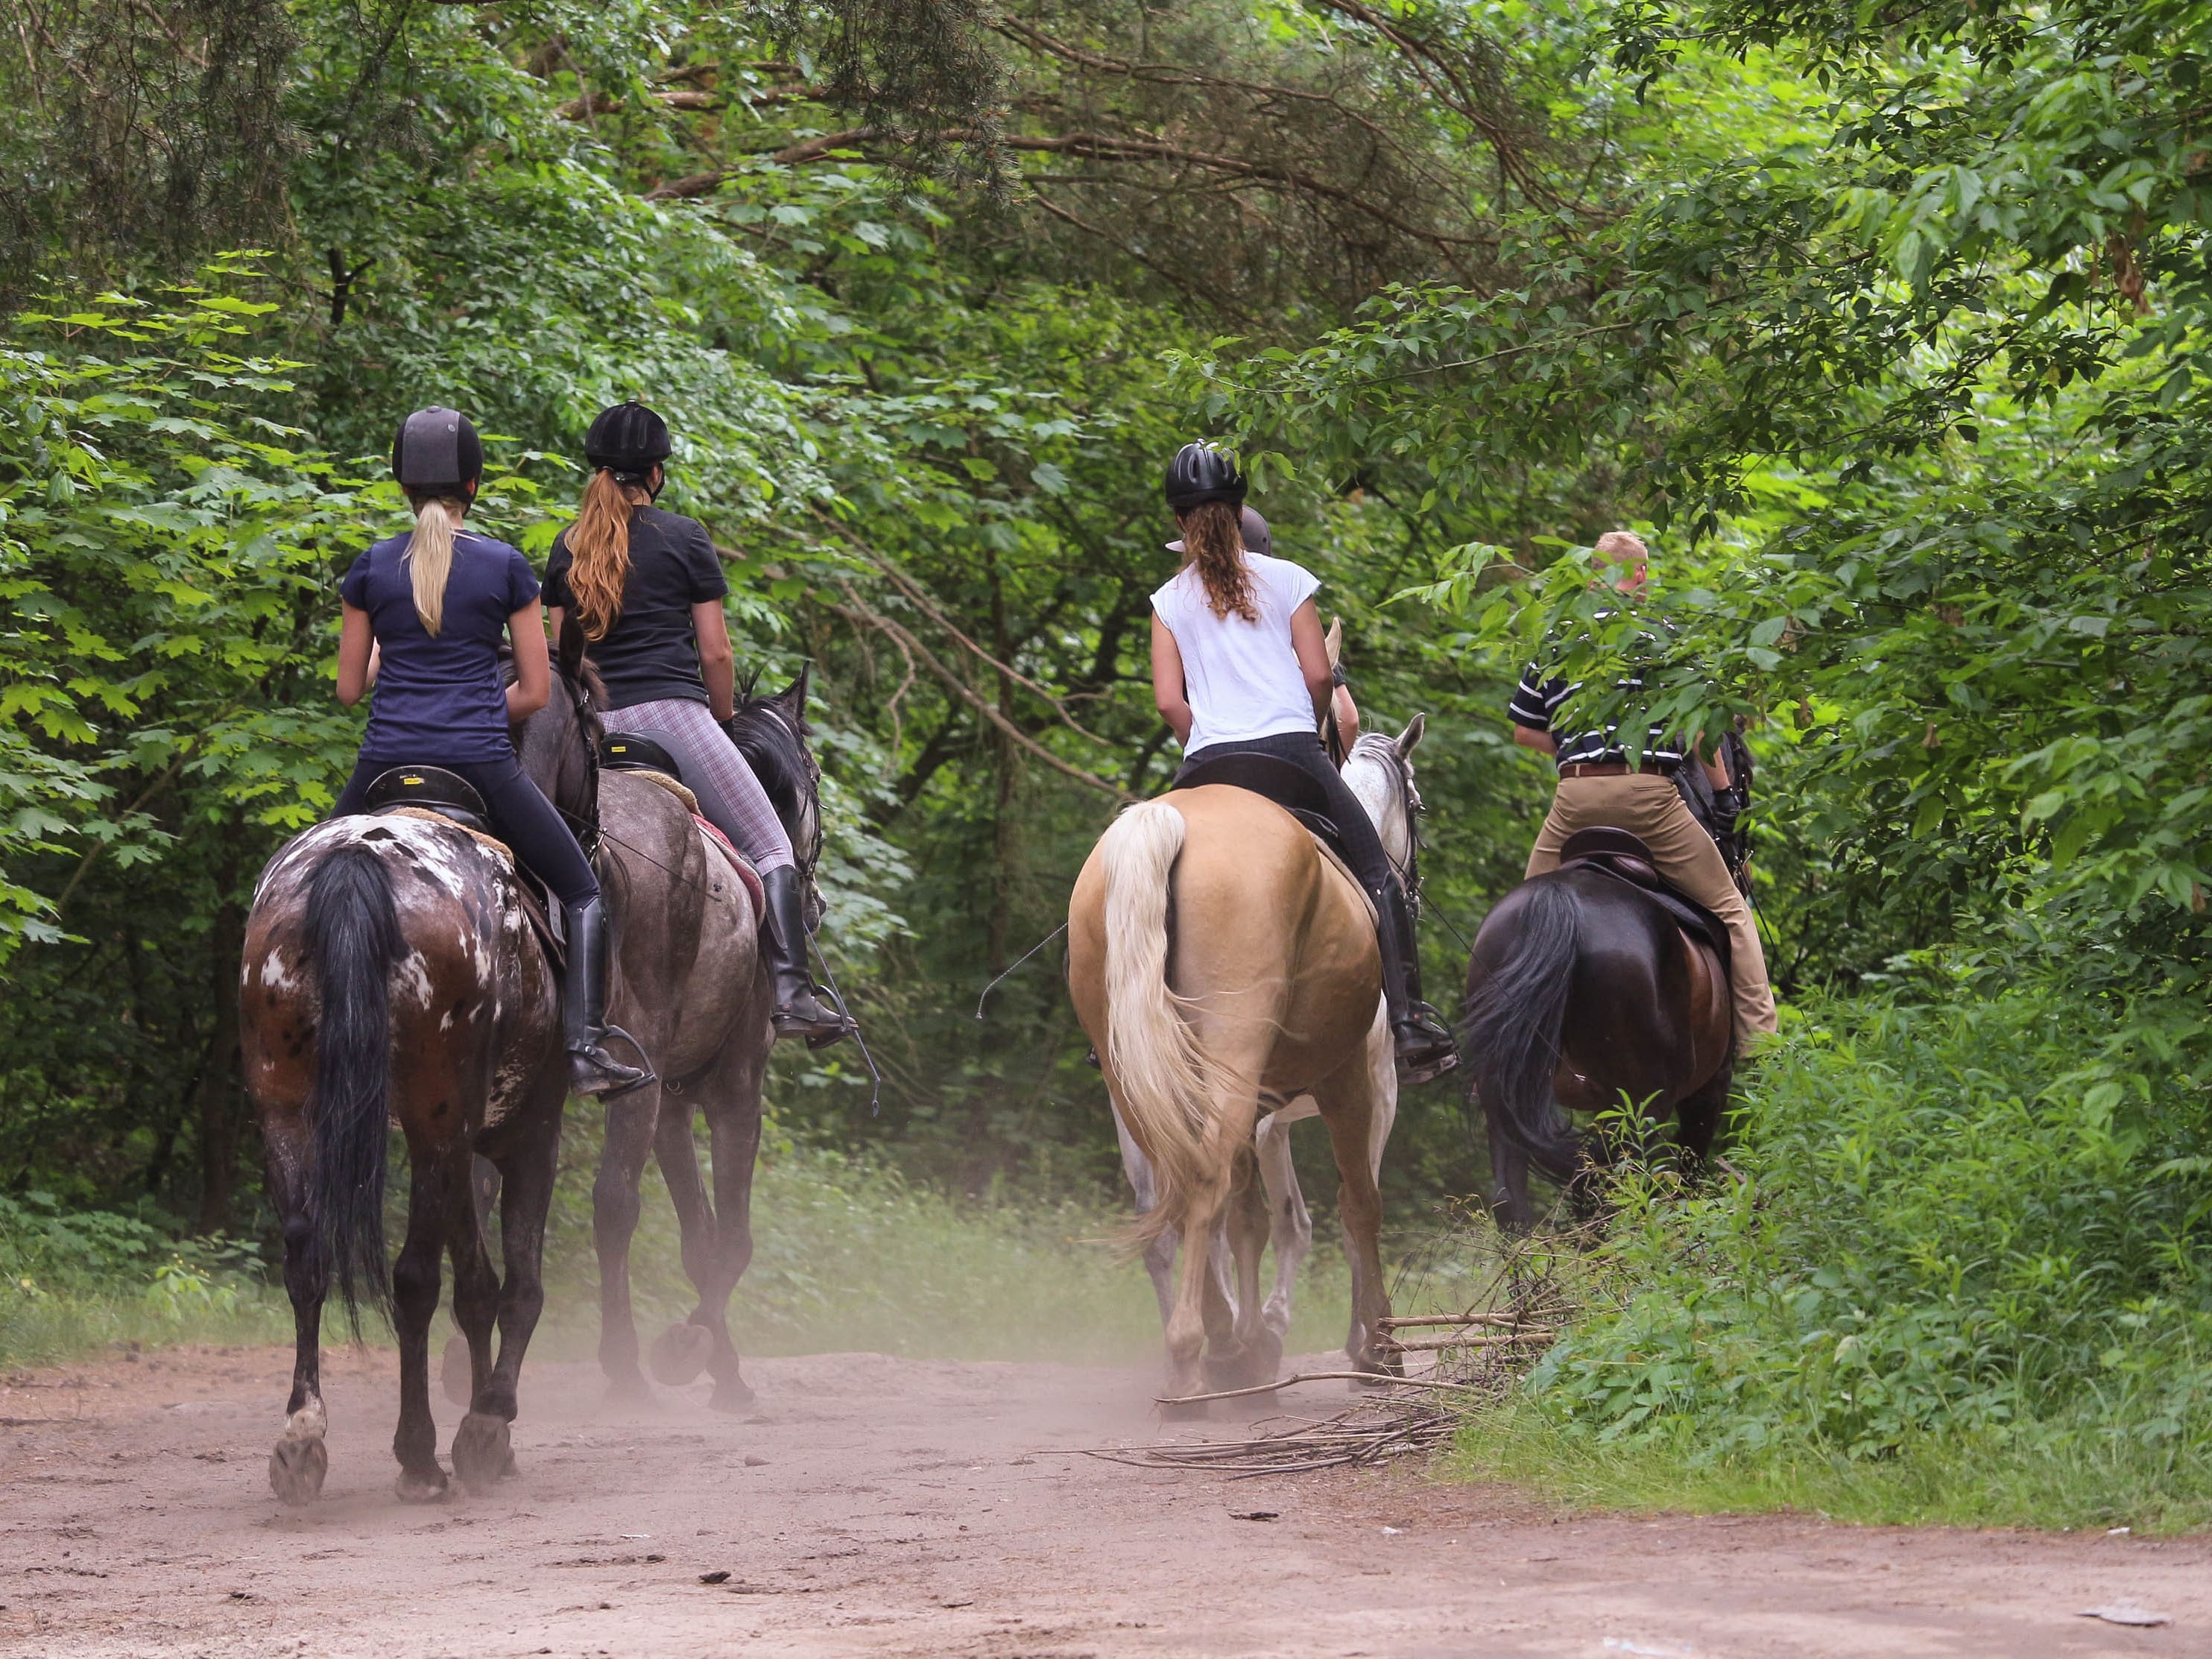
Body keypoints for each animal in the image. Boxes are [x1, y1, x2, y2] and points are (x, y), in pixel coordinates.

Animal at [241, 641, 601, 1504]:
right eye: (598, 731)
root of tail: (355, 860)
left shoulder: (456, 1135)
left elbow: (476, 1284)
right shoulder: (523, 1132)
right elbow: (514, 1284)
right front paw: (488, 1424)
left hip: (290, 1105)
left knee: (306, 1257)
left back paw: (302, 1440)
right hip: (440, 1114)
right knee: (411, 1279)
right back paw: (417, 1453)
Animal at [1066, 752, 1397, 1406]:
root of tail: (1166, 822)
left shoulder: (1263, 1114)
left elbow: (1253, 1220)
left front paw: (1257, 1341)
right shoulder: (1362, 1083)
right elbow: (1356, 1208)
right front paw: (1373, 1347)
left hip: (1141, 1080)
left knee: (1179, 1199)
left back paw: (1214, 1348)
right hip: (1239, 1052)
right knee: (1207, 1184)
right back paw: (1197, 1356)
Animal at [1459, 862, 1734, 1230]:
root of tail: (1558, 898)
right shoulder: (1710, 1088)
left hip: (1505, 1094)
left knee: (1510, 1199)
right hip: (1645, 1103)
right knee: (1621, 1189)